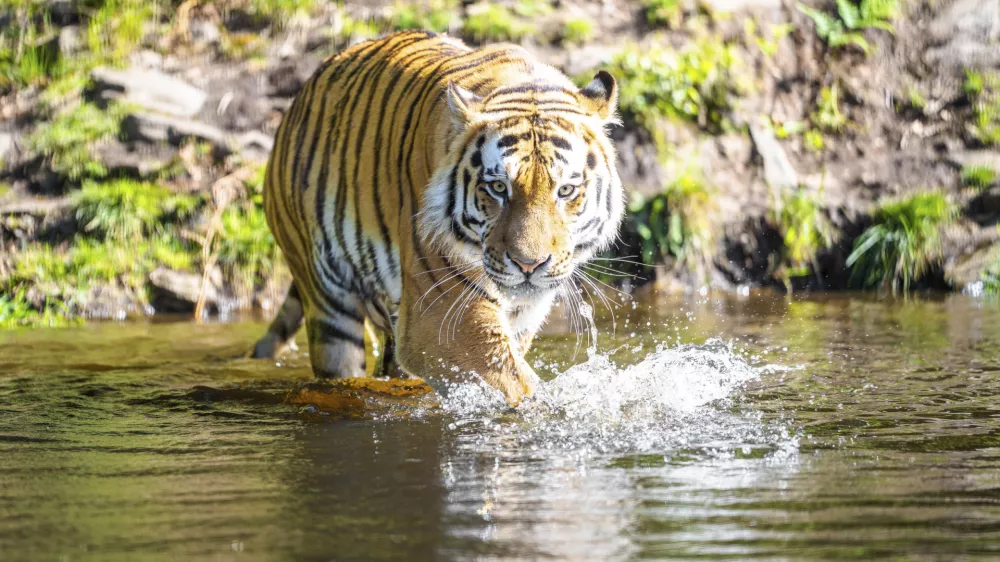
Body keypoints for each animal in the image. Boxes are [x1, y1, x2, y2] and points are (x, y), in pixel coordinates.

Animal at [250, 30, 624, 406]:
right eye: (498, 187)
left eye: (565, 190)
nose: (528, 265)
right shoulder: (439, 314)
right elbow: (514, 382)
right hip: (327, 303)